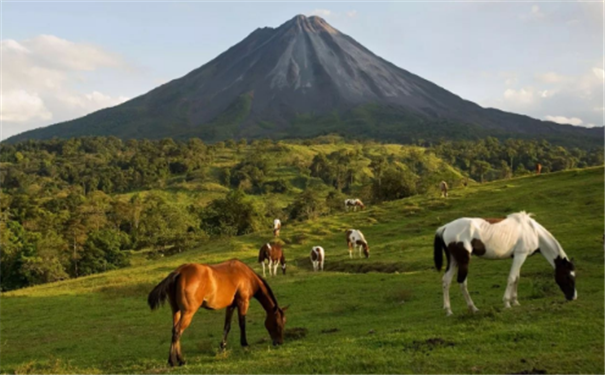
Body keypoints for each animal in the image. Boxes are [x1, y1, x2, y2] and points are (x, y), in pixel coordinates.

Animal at [147, 262, 288, 368]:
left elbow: (227, 327)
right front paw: (244, 344)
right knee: (177, 331)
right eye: (277, 323)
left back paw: (174, 360)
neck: (246, 276)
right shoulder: (243, 302)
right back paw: (178, 360)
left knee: (175, 332)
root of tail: (179, 272)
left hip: (176, 311)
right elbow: (242, 324)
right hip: (187, 313)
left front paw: (222, 347)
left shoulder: (231, 306)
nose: (279, 342)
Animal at [434, 212, 576, 318]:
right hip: (464, 261)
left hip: (454, 260)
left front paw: (515, 301)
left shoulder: (518, 257)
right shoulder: (520, 255)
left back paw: (448, 311)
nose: (573, 297)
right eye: (568, 276)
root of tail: (445, 227)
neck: (532, 231)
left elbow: (517, 278)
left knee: (446, 281)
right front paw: (507, 303)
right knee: (462, 282)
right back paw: (473, 308)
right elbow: (512, 278)